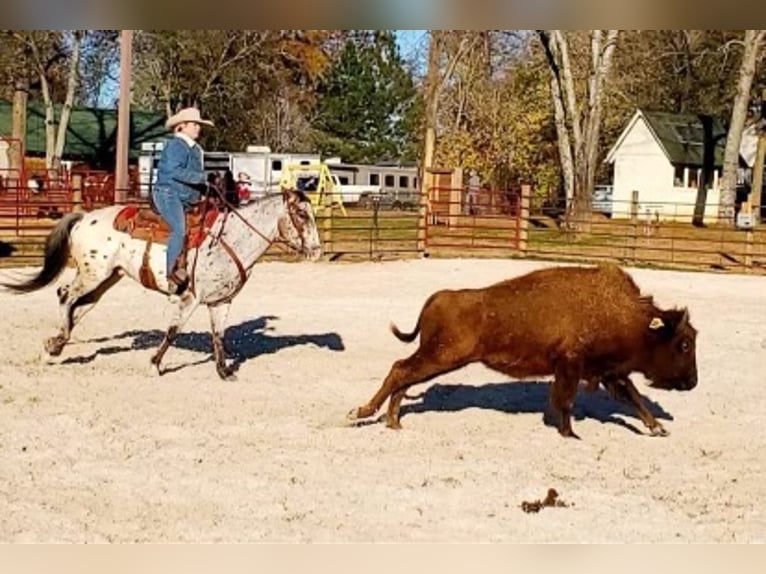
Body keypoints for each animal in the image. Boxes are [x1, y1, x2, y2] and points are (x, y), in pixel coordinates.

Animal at [0, 188, 320, 382]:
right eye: (301, 214)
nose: (316, 250)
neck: (231, 238)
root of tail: (85, 217)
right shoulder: (191, 297)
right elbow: (173, 330)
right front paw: (154, 364)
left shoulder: (221, 301)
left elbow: (219, 336)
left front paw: (224, 371)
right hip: (93, 274)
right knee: (65, 296)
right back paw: (54, 346)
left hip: (108, 277)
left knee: (79, 307)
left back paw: (57, 344)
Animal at [352, 266, 700, 440]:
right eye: (683, 344)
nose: (692, 383)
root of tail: (437, 298)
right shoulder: (572, 366)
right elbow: (566, 401)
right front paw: (570, 434)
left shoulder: (609, 373)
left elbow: (634, 398)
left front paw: (658, 428)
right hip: (441, 357)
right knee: (400, 370)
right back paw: (362, 413)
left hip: (436, 358)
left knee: (404, 375)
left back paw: (393, 422)